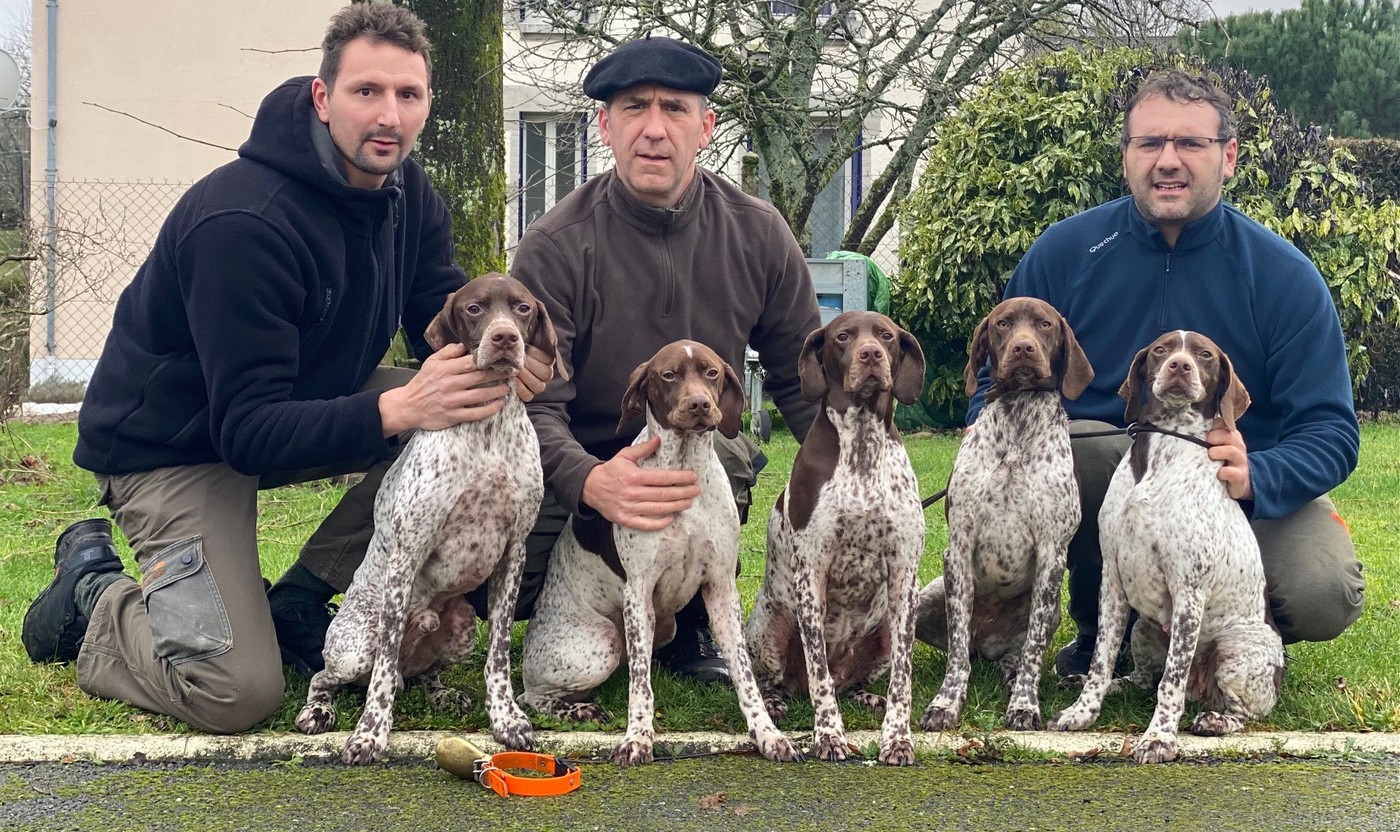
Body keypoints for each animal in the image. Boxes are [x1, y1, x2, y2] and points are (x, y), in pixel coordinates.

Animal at [292, 273, 565, 761]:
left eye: (523, 309)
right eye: (475, 309)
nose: (505, 339)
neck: (487, 429)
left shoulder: (513, 552)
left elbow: (499, 654)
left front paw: (506, 719)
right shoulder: (408, 552)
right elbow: (382, 674)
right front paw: (370, 734)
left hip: (459, 630)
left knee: (423, 673)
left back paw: (442, 694)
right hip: (354, 648)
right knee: (334, 676)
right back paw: (318, 711)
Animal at [520, 338, 806, 761]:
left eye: (711, 373)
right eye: (668, 375)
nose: (700, 405)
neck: (685, 464)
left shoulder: (721, 589)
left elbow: (744, 674)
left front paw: (767, 732)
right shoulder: (638, 593)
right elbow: (641, 686)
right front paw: (637, 737)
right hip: (602, 642)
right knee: (533, 696)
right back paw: (579, 710)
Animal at [744, 310, 929, 761]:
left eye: (886, 336)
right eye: (843, 336)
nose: (871, 355)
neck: (861, 446)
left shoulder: (905, 577)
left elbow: (903, 680)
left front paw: (897, 737)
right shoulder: (812, 573)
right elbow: (819, 675)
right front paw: (828, 735)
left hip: (886, 634)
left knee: (856, 681)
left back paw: (866, 696)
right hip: (769, 629)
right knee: (788, 681)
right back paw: (777, 701)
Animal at [918, 296, 1092, 728]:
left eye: (1045, 324)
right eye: (1003, 324)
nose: (1023, 348)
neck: (1018, 417)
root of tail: (986, 643)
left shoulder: (1051, 555)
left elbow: (1033, 652)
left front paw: (1024, 705)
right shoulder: (958, 551)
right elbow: (956, 653)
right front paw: (946, 703)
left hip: (1051, 611)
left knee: (1018, 652)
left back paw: (1012, 672)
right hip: (927, 595)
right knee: (957, 648)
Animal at [1052, 327, 1288, 761]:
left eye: (1205, 355)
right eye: (1161, 350)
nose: (1180, 366)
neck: (1164, 450)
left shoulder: (1189, 590)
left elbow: (1171, 681)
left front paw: (1159, 737)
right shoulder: (1113, 581)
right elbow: (1102, 661)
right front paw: (1083, 711)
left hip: (1234, 651)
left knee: (1242, 712)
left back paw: (1215, 721)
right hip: (1146, 629)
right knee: (1142, 679)